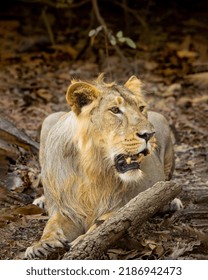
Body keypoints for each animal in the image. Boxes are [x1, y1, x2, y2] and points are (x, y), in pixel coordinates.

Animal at [25, 74, 182, 258]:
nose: (149, 134)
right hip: (49, 120)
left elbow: (104, 223)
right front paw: (42, 245)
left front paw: (83, 240)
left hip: (163, 124)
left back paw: (171, 201)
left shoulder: (126, 205)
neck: (93, 167)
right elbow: (52, 225)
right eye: (115, 110)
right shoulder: (68, 210)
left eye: (141, 108)